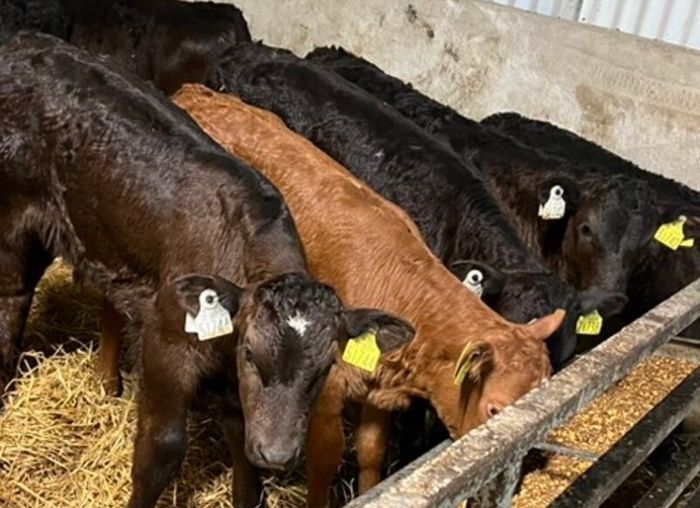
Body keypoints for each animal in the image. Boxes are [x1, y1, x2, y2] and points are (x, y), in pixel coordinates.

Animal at [0, 34, 413, 508]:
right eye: (251, 352)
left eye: (326, 365)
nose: (277, 453)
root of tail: (23, 43)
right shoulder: (166, 345)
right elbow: (161, 449)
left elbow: (244, 460)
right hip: (13, 215)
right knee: (12, 294)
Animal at [172, 83, 566, 507]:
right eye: (494, 409)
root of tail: (196, 92)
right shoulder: (326, 393)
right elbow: (325, 460)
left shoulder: (378, 396)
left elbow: (371, 454)